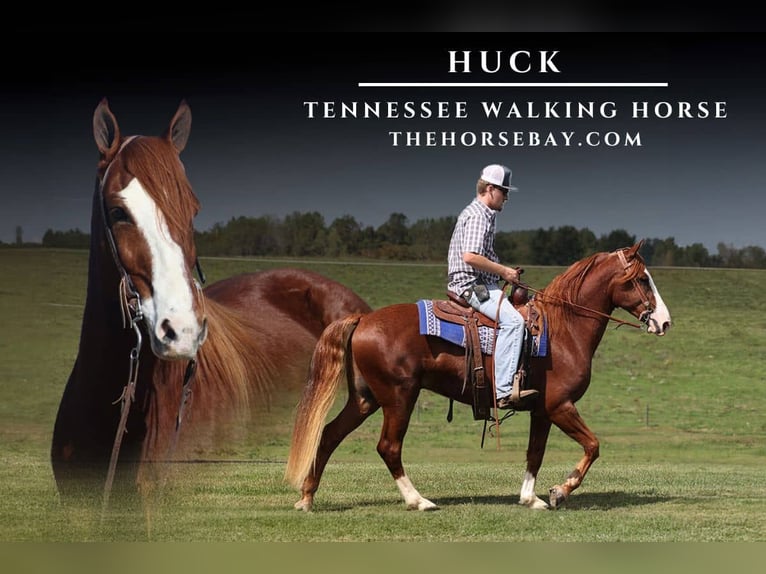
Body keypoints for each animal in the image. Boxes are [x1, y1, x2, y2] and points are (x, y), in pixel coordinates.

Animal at [285, 242, 672, 511]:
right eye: (641, 279)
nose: (664, 321)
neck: (563, 330)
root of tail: (363, 319)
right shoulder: (560, 406)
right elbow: (593, 446)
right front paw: (560, 491)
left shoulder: (543, 412)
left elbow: (535, 453)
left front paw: (531, 498)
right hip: (399, 396)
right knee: (388, 447)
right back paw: (418, 500)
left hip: (366, 399)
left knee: (329, 435)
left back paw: (307, 498)